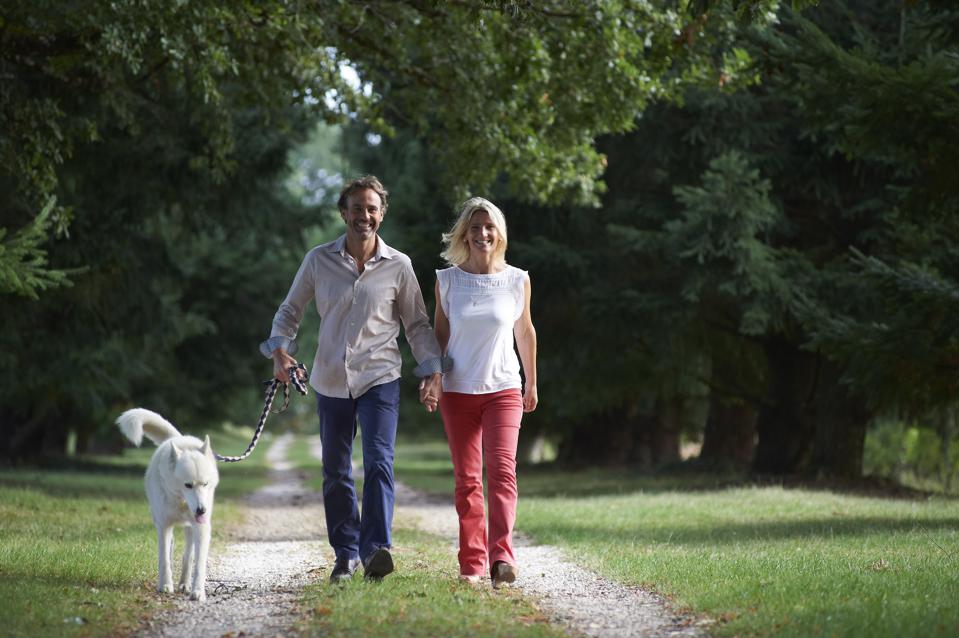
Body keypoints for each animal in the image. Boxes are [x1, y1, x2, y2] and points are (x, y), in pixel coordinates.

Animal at [117, 410, 220, 604]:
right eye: (188, 485)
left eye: (205, 484)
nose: (201, 510)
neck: (181, 502)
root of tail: (177, 438)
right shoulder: (164, 526)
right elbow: (164, 559)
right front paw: (165, 586)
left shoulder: (201, 528)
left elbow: (199, 563)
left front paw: (198, 591)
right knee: (171, 551)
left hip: (190, 530)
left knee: (188, 556)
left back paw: (185, 584)